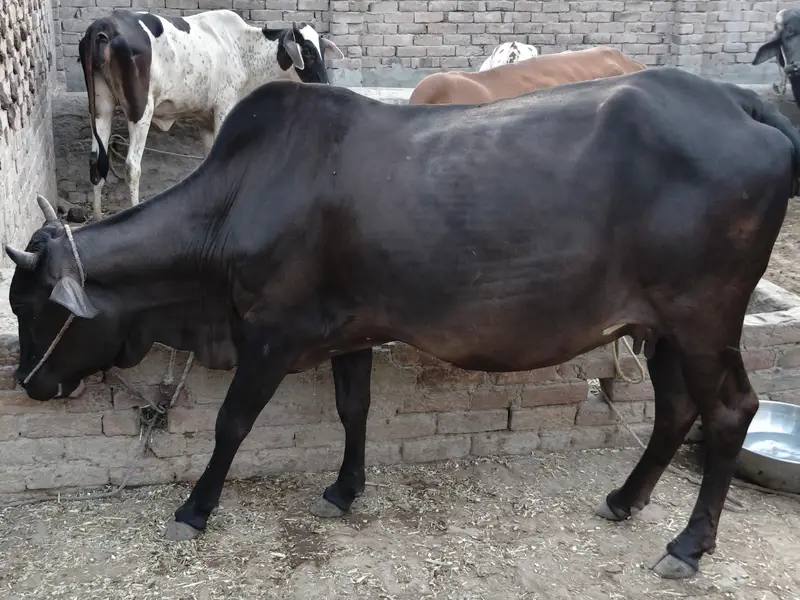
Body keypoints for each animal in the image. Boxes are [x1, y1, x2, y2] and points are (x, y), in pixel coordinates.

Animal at [6, 67, 800, 580]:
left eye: (37, 306)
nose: (28, 384)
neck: (235, 204)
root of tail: (736, 101)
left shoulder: (271, 334)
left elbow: (232, 425)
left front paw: (195, 508)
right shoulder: (348, 330)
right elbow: (353, 407)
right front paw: (344, 489)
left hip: (705, 317)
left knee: (729, 410)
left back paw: (688, 545)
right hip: (665, 325)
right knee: (675, 409)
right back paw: (624, 500)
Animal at [77, 9, 344, 221]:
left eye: (322, 49)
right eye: (307, 51)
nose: (326, 83)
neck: (244, 49)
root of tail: (102, 26)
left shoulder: (204, 118)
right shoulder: (224, 107)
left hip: (101, 110)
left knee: (96, 162)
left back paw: (98, 217)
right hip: (140, 111)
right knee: (132, 166)